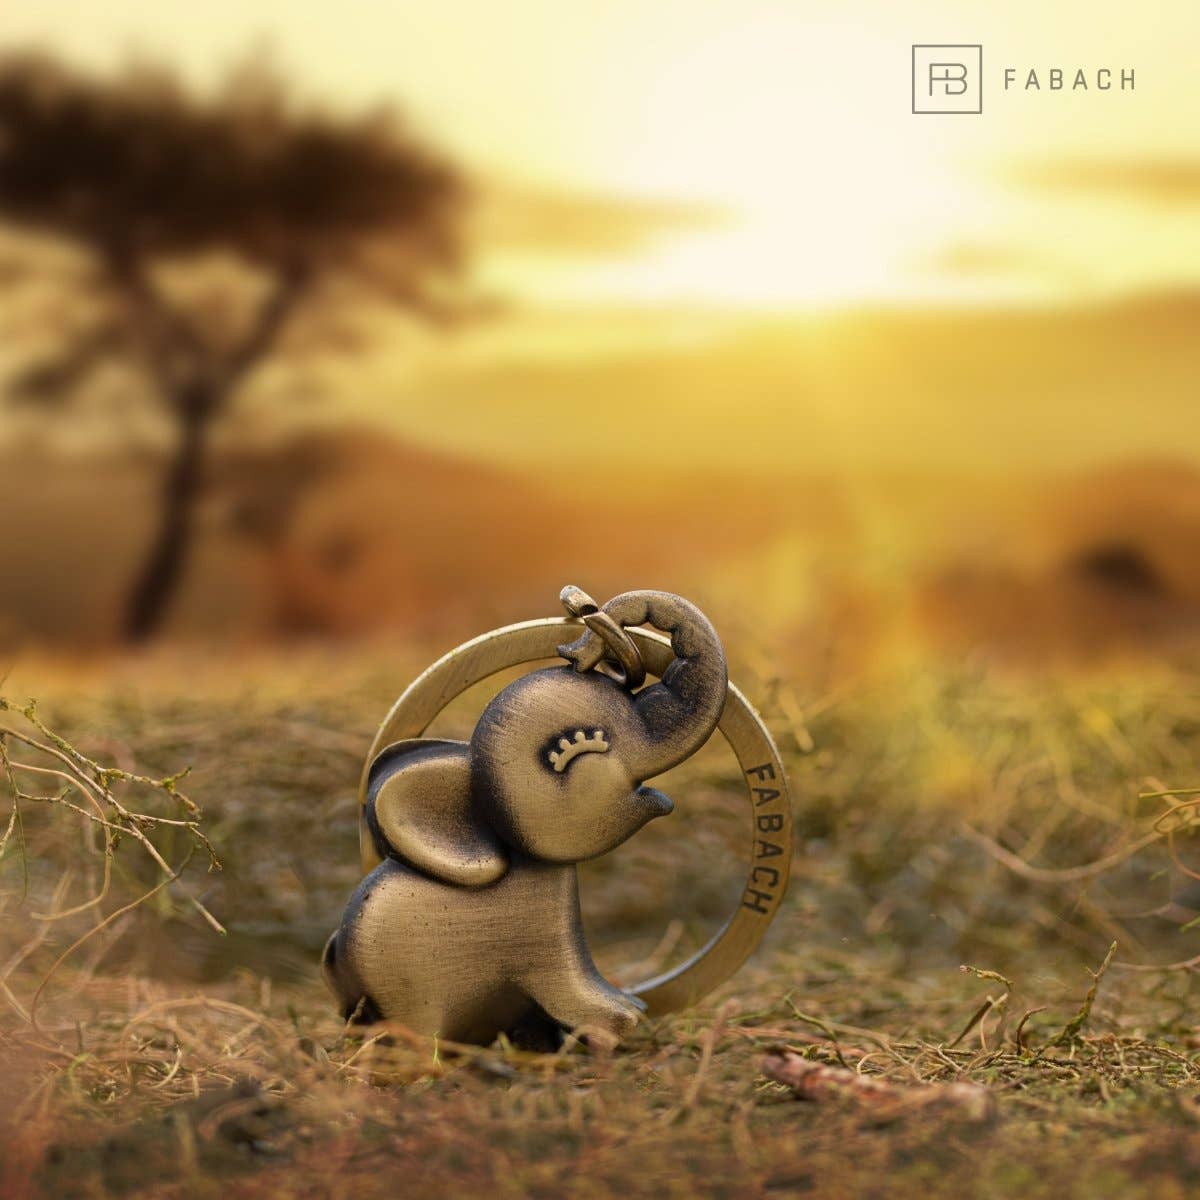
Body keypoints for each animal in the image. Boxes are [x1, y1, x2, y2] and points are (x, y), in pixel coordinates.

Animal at [322, 588, 728, 1048]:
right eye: (577, 746)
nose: (590, 637)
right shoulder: (542, 944)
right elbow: (566, 990)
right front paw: (623, 1020)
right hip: (409, 991)